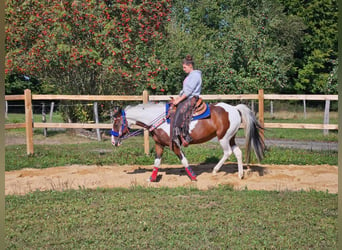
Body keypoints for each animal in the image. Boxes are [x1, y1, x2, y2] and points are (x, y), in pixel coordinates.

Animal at [112, 101, 264, 182]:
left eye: (116, 123)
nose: (113, 142)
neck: (160, 119)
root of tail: (234, 108)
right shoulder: (159, 144)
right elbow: (157, 162)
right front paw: (152, 178)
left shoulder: (175, 145)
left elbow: (184, 160)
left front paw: (193, 177)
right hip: (231, 137)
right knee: (237, 152)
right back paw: (240, 174)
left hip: (224, 138)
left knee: (227, 152)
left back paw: (215, 170)